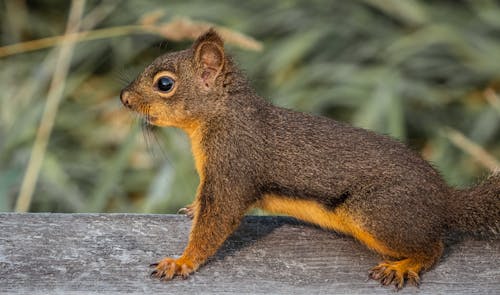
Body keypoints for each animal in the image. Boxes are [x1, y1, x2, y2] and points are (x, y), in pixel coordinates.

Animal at [121, 29, 500, 290]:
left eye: (165, 84)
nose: (123, 98)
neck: (221, 117)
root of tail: (444, 198)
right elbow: (205, 207)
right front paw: (192, 209)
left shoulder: (234, 167)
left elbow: (216, 222)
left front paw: (181, 261)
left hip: (378, 212)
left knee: (434, 246)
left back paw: (404, 266)